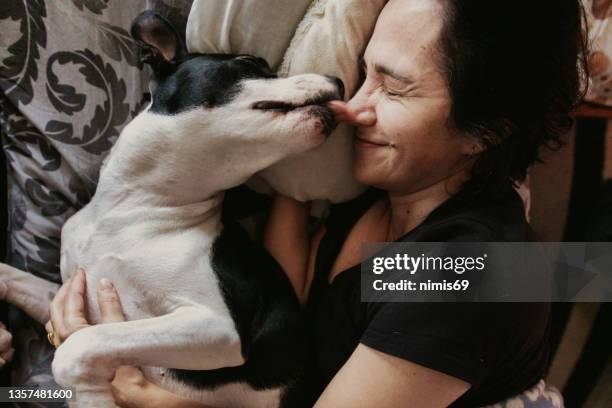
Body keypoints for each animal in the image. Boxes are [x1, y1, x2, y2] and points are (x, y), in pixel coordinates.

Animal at [0, 11, 344, 406]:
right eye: (249, 63)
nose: (339, 80)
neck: (131, 209)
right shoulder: (68, 297)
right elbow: (14, 277)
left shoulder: (215, 327)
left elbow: (79, 346)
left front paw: (92, 396)